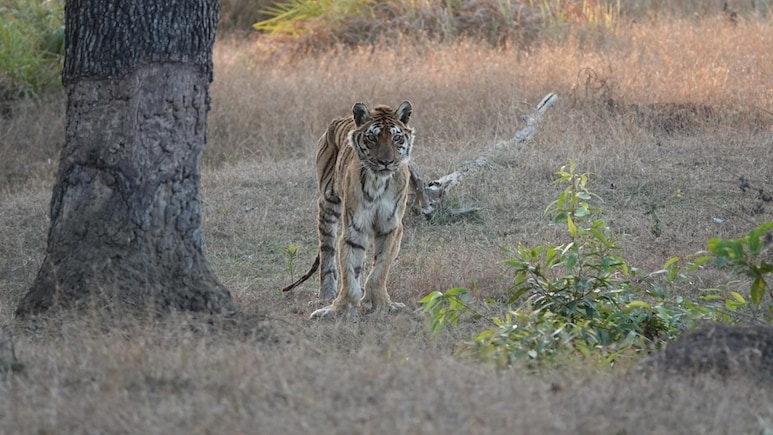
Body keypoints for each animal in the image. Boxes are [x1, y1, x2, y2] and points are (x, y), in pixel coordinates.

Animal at [282, 101, 415, 319]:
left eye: (396, 137)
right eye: (372, 137)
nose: (385, 162)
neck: (378, 181)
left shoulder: (391, 227)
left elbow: (379, 270)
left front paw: (382, 304)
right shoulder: (355, 226)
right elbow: (349, 269)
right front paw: (339, 308)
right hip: (327, 203)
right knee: (327, 253)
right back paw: (327, 294)